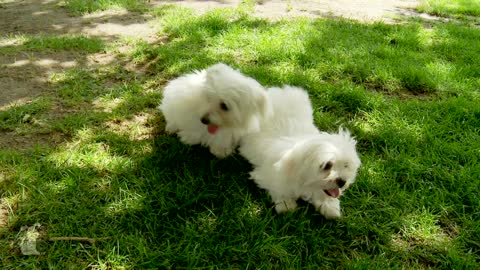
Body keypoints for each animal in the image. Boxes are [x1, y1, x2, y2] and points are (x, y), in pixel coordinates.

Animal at [240, 86, 360, 219]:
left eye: (346, 165)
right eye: (327, 166)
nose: (342, 181)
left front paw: (330, 206)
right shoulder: (268, 174)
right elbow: (278, 188)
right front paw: (286, 204)